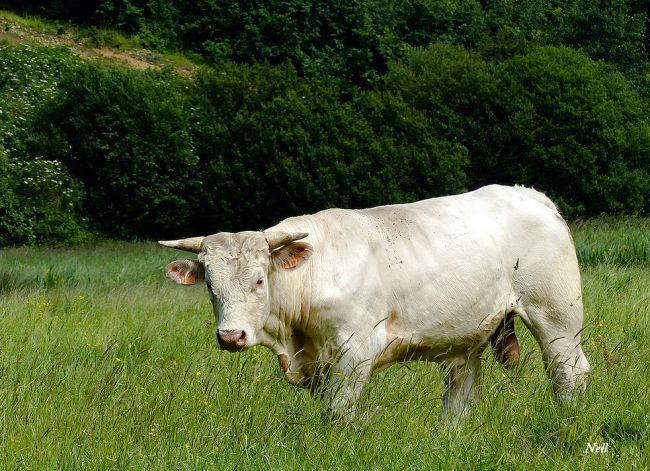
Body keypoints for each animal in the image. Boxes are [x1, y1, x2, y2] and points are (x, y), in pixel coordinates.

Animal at [161, 184, 588, 420]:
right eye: (210, 285)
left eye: (259, 279)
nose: (230, 336)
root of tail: (528, 194)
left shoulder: (355, 350)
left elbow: (338, 413)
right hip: (467, 337)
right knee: (460, 395)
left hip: (556, 316)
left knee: (569, 372)